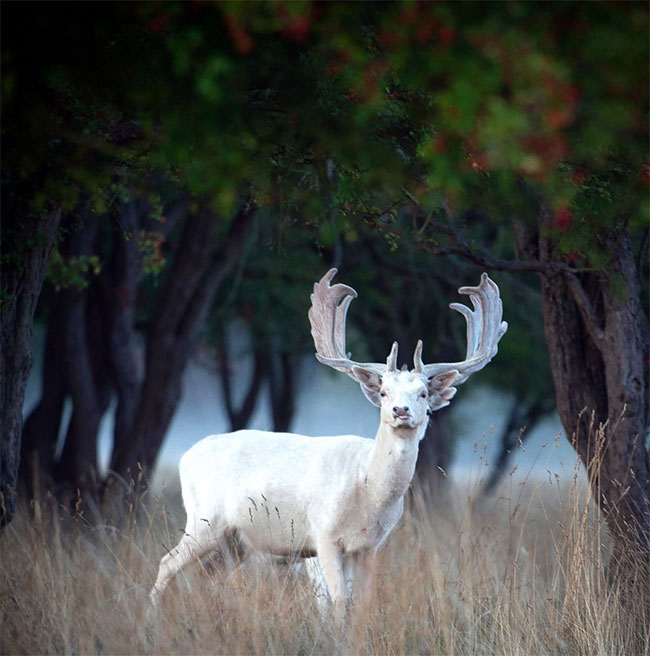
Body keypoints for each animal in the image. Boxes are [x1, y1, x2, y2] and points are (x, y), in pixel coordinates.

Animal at [150, 269, 507, 616]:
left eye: (422, 393)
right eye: (383, 392)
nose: (400, 410)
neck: (368, 490)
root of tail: (186, 455)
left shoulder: (370, 546)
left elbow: (362, 605)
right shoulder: (323, 535)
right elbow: (336, 602)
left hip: (235, 540)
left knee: (208, 575)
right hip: (204, 518)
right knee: (167, 563)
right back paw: (153, 617)